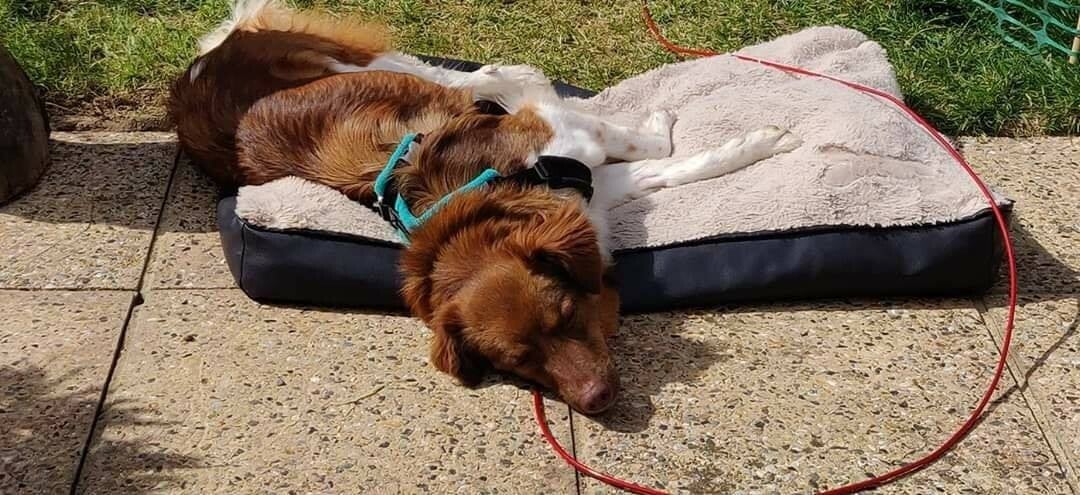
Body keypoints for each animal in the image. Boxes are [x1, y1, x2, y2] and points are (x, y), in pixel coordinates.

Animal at [170, 0, 800, 414]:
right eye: (518, 362)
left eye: (566, 317)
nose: (594, 402)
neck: (477, 196)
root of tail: (201, 64)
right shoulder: (588, 184)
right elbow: (664, 165)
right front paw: (745, 144)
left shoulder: (569, 138)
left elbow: (655, 148)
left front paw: (741, 137)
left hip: (362, 66)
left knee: (470, 72)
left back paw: (519, 80)